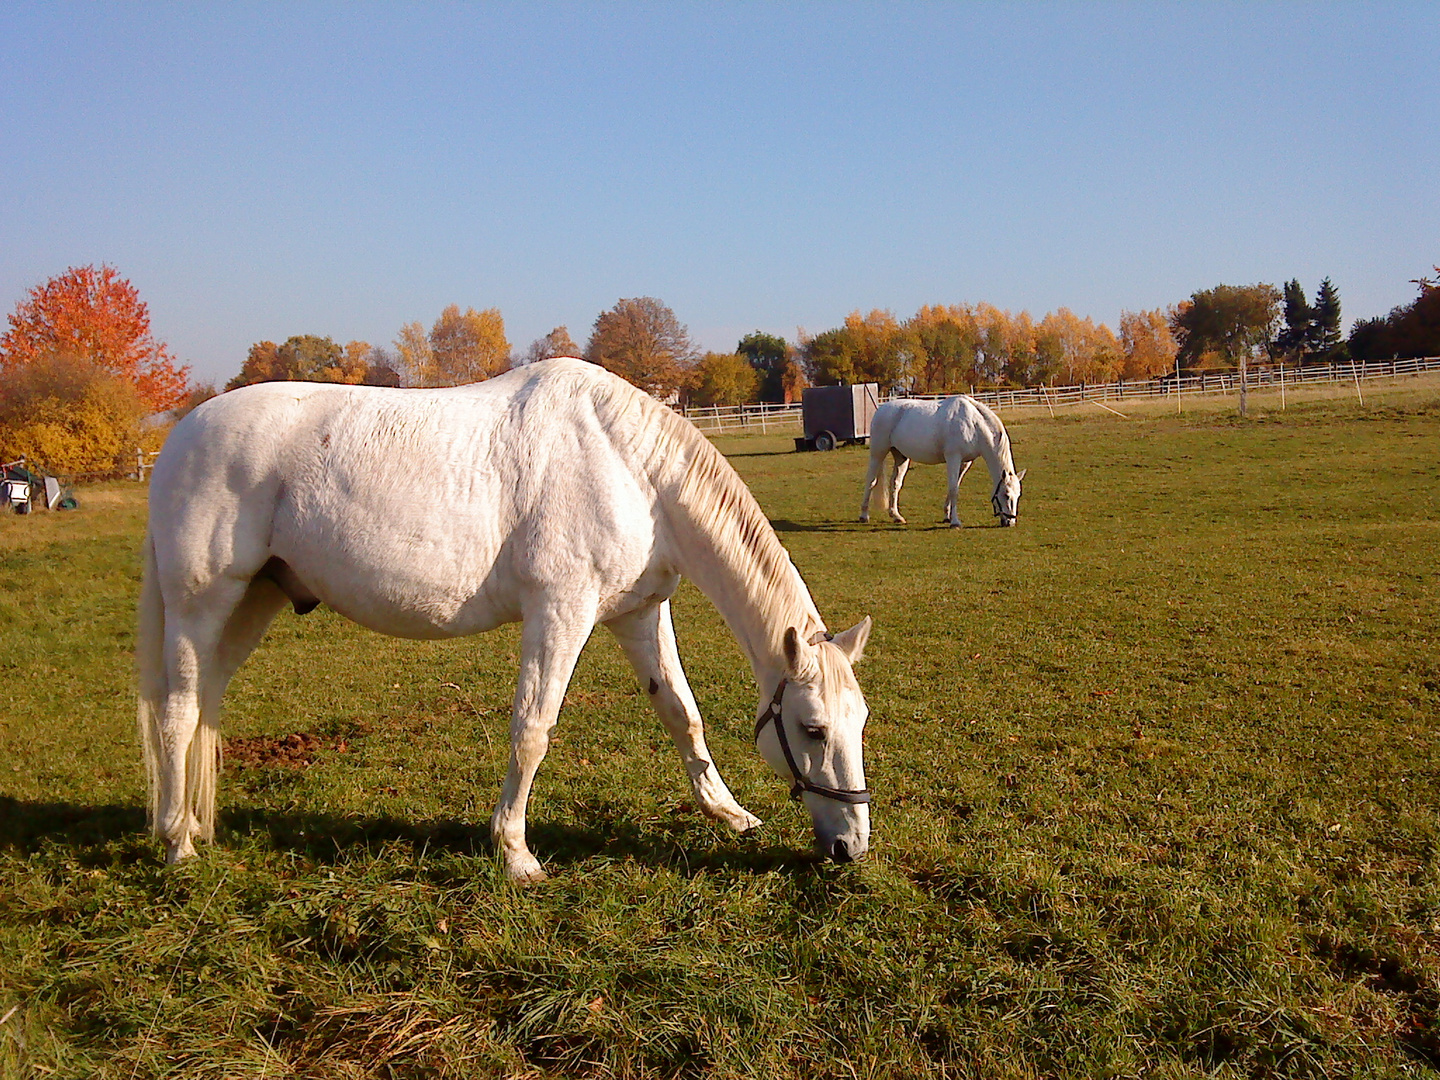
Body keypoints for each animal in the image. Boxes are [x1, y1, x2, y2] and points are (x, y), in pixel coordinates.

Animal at [140, 360, 869, 881]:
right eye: (812, 728)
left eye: (859, 722)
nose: (852, 848)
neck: (628, 467)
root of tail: (178, 437)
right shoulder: (560, 612)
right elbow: (532, 730)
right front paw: (515, 854)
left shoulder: (638, 613)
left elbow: (681, 714)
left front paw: (729, 813)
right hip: (201, 605)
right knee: (177, 713)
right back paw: (178, 844)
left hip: (253, 602)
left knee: (205, 706)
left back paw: (196, 825)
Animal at [852, 397, 1025, 532]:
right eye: (1006, 495)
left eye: (1018, 495)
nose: (1010, 522)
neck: (975, 424)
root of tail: (881, 409)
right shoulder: (953, 458)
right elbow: (954, 490)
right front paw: (955, 522)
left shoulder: (965, 462)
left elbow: (954, 487)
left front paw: (947, 516)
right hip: (878, 453)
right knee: (871, 481)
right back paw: (864, 515)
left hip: (901, 457)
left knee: (895, 484)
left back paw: (896, 516)